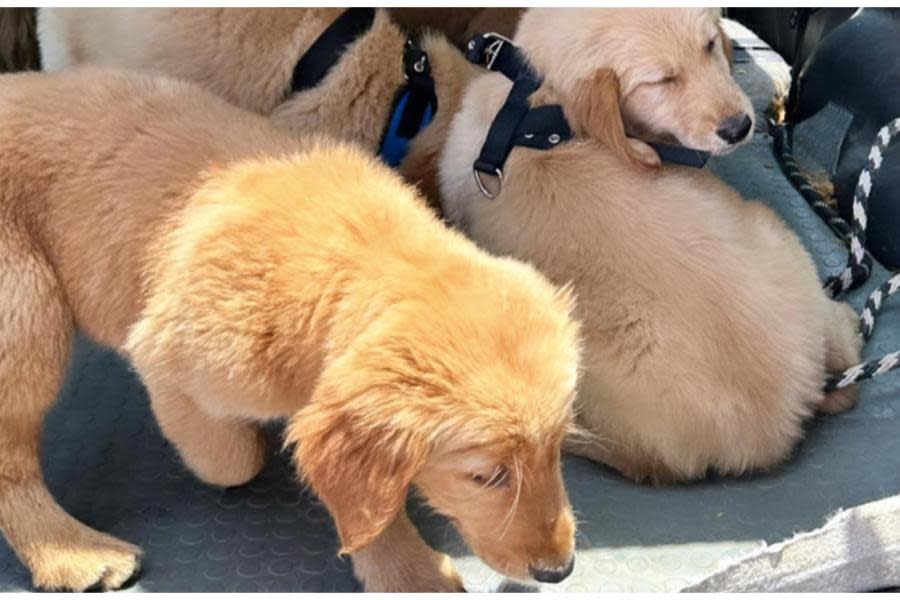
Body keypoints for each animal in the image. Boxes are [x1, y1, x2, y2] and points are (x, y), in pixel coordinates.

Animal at [0, 68, 580, 592]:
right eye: (486, 476)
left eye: (556, 449)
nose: (561, 570)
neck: (355, 257)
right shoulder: (168, 359)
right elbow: (233, 460)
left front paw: (405, 569)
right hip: (27, 310)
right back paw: (71, 552)